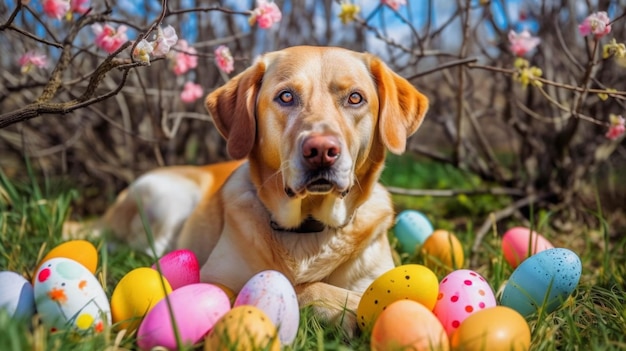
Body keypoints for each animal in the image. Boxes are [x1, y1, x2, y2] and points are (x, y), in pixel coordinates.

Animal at [89, 46, 428, 332]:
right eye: (286, 97)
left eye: (355, 98)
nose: (321, 150)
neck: (308, 229)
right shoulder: (219, 281)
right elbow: (298, 288)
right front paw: (346, 308)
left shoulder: (370, 275)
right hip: (167, 197)